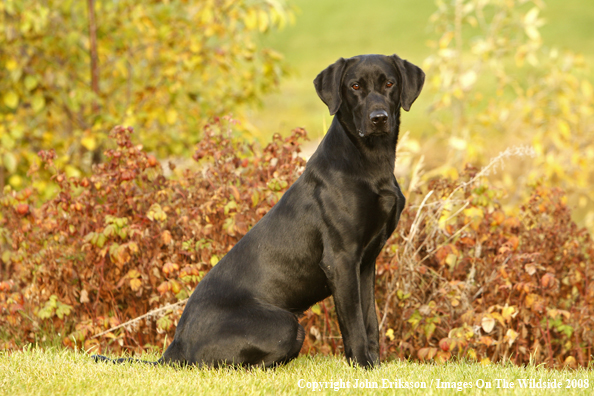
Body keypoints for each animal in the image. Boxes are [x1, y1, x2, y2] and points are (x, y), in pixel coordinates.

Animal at [95, 52, 424, 368]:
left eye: (390, 83)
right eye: (355, 86)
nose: (379, 118)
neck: (370, 162)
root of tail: (175, 347)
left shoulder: (366, 263)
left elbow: (370, 323)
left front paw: (376, 368)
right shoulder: (341, 260)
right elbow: (354, 327)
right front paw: (363, 368)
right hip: (286, 324)